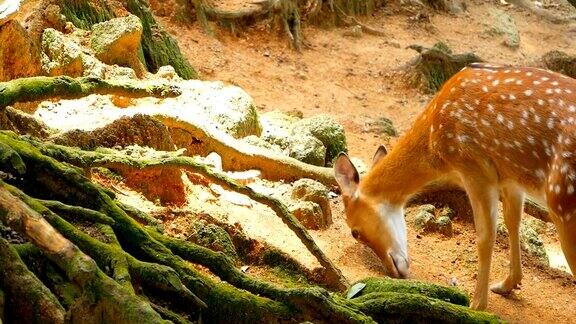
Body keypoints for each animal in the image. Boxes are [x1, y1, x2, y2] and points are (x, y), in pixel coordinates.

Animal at [332, 63, 576, 308]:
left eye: (355, 232)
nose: (393, 271)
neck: (434, 141)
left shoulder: (474, 168)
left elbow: (485, 236)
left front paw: (477, 306)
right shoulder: (511, 178)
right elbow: (512, 222)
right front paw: (507, 284)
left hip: (563, 199)